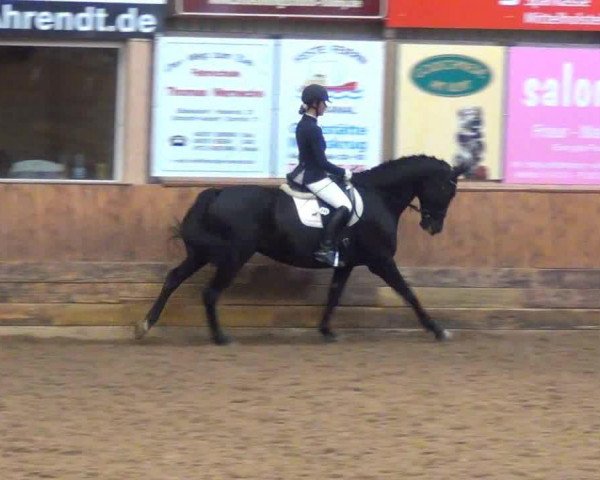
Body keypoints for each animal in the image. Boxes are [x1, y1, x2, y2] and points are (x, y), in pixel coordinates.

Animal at [135, 156, 464, 344]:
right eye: (447, 189)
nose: (433, 227)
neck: (378, 197)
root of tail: (216, 193)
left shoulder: (346, 263)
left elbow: (334, 295)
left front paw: (326, 331)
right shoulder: (381, 260)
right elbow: (409, 292)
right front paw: (437, 329)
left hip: (201, 254)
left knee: (173, 278)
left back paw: (145, 325)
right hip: (234, 256)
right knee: (209, 293)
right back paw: (220, 337)